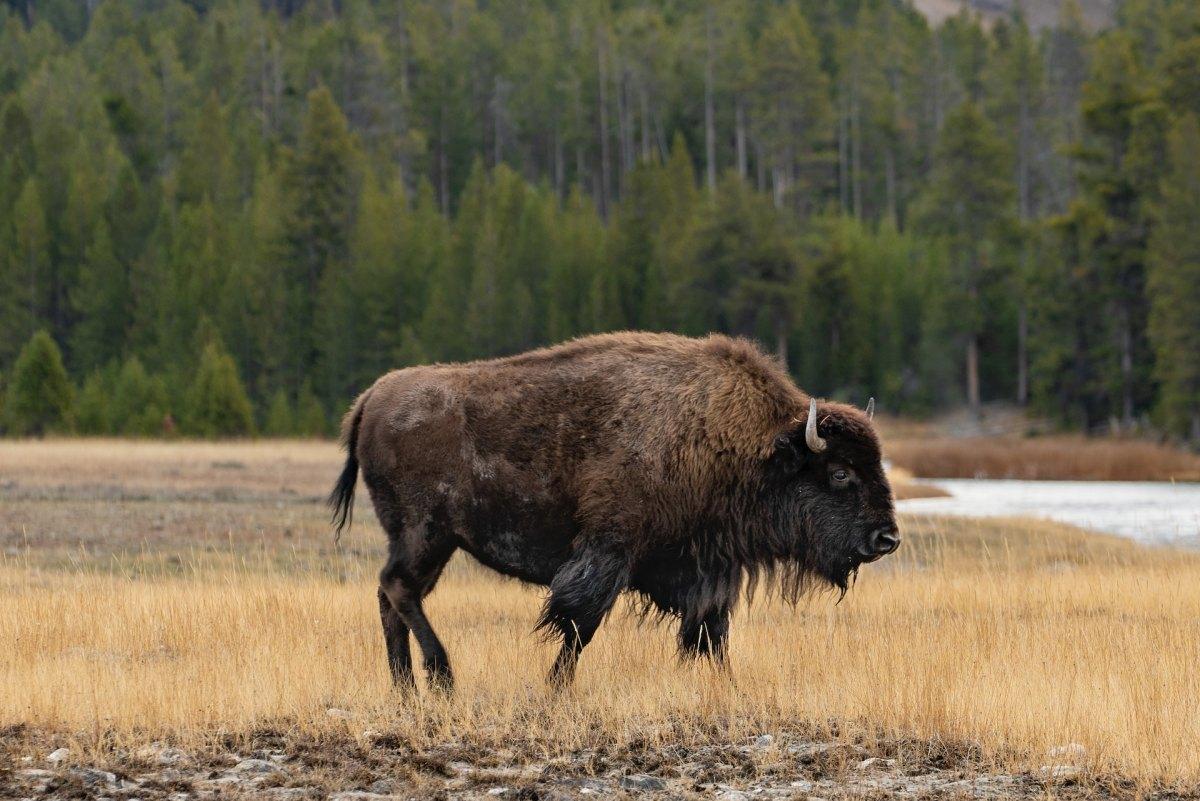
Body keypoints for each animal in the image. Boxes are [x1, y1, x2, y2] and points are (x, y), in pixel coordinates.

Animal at [331, 330, 902, 690]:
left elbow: (712, 635)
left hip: (434, 543)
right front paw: (554, 690)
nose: (886, 539)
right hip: (426, 533)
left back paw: (406, 691)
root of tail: (371, 398)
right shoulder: (608, 552)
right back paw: (442, 678)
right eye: (840, 473)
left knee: (392, 596)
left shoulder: (707, 571)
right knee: (397, 587)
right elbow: (579, 625)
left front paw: (730, 689)